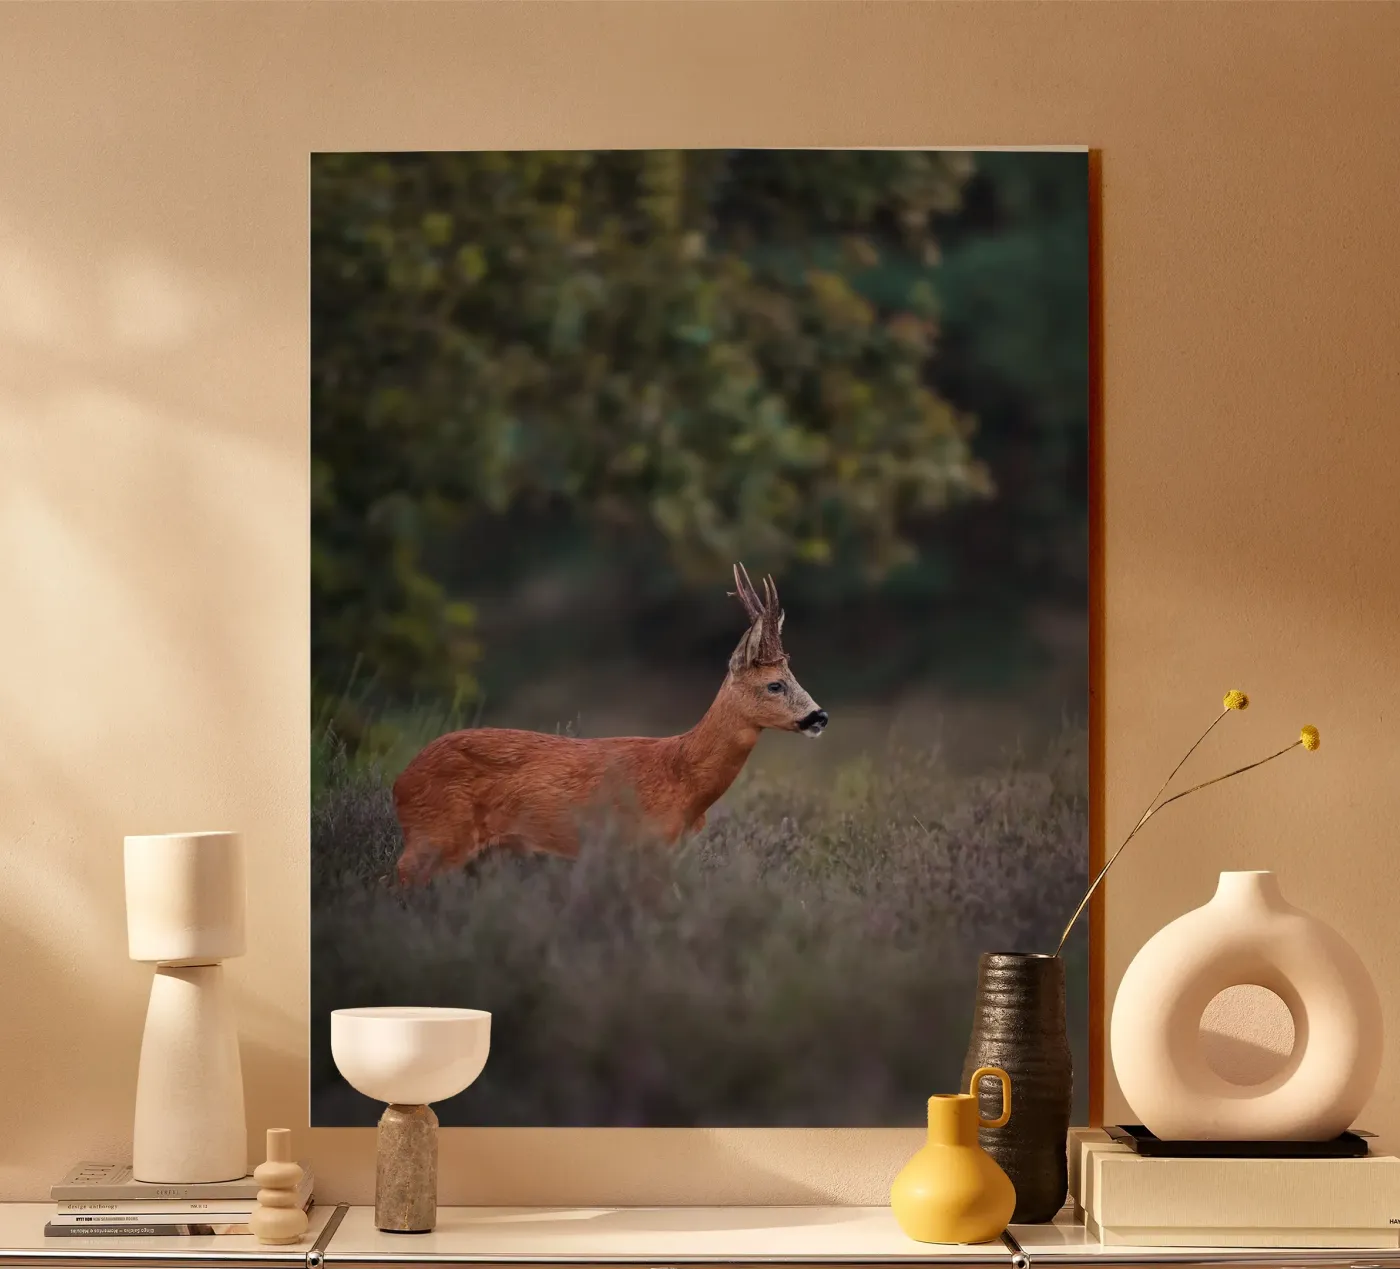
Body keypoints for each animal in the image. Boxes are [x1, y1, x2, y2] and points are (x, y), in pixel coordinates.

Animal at [390, 564, 828, 885]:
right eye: (775, 684)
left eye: (793, 676)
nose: (819, 716)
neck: (682, 778)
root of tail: (400, 782)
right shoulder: (641, 845)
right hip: (436, 836)